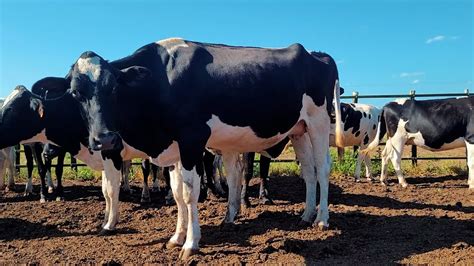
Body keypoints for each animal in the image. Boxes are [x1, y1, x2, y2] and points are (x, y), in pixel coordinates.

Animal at [39, 37, 344, 258]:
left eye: (113, 88)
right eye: (76, 93)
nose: (104, 139)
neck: (161, 81)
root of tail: (317, 54)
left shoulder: (191, 140)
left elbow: (188, 193)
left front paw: (190, 244)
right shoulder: (174, 147)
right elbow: (176, 193)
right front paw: (177, 237)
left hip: (318, 121)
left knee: (323, 168)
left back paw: (322, 219)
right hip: (299, 130)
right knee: (309, 171)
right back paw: (306, 215)